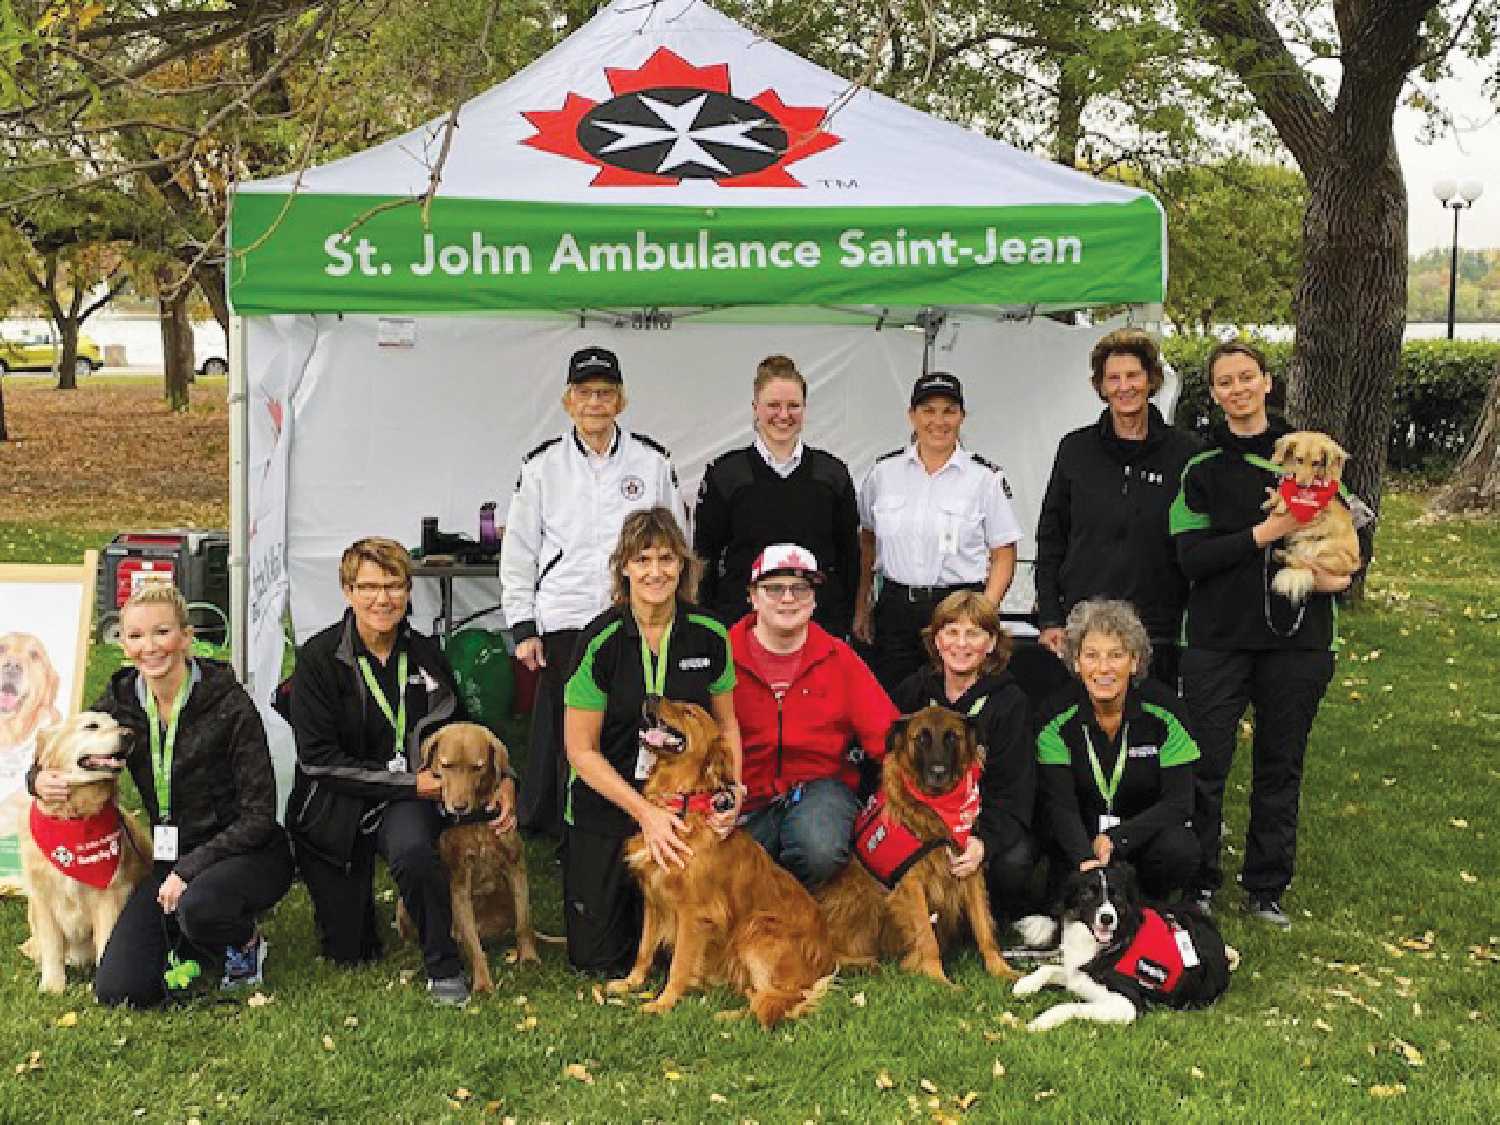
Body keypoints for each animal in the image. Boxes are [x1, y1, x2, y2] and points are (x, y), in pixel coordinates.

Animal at [19, 714, 150, 996]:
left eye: (116, 723)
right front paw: (52, 986)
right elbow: (52, 946)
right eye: (91, 726)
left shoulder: (111, 895)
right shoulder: (42, 898)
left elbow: (107, 941)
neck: (75, 817)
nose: (129, 735)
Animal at [396, 723, 543, 996]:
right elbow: (474, 946)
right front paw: (483, 983)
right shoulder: (459, 886)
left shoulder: (517, 867)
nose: (459, 806)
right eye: (446, 765)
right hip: (403, 906)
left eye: (477, 767)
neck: (476, 819)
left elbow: (524, 922)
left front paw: (529, 958)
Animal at [612, 702, 846, 1038]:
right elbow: (644, 949)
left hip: (756, 931)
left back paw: (729, 1016)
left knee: (779, 999)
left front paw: (663, 1003)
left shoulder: (694, 912)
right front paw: (630, 984)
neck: (680, 805)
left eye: (689, 712)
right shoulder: (654, 899)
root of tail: (826, 958)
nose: (651, 698)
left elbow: (679, 964)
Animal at [822, 708, 1020, 990]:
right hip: (864, 898)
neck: (937, 808)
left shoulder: (970, 869)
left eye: (952, 737)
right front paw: (937, 979)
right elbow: (927, 938)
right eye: (921, 738)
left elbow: (985, 928)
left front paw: (1001, 969)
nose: (938, 772)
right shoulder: (911, 884)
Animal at [1266, 432, 1362, 609]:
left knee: (1308, 563)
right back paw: (1282, 554)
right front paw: (1274, 499)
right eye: (1299, 459)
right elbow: (1281, 491)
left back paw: (1285, 556)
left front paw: (1280, 502)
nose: (1302, 486)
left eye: (1316, 463)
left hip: (1325, 548)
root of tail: (1354, 565)